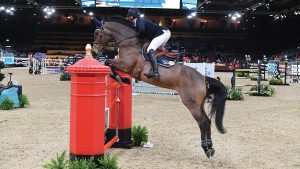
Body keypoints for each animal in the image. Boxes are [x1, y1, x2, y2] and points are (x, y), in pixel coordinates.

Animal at [92, 16, 227, 158]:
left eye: (98, 34)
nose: (95, 51)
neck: (129, 43)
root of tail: (202, 78)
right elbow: (109, 64)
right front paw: (122, 78)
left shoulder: (126, 65)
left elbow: (108, 63)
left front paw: (120, 78)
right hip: (199, 104)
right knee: (207, 121)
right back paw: (210, 147)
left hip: (191, 104)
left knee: (203, 122)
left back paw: (206, 148)